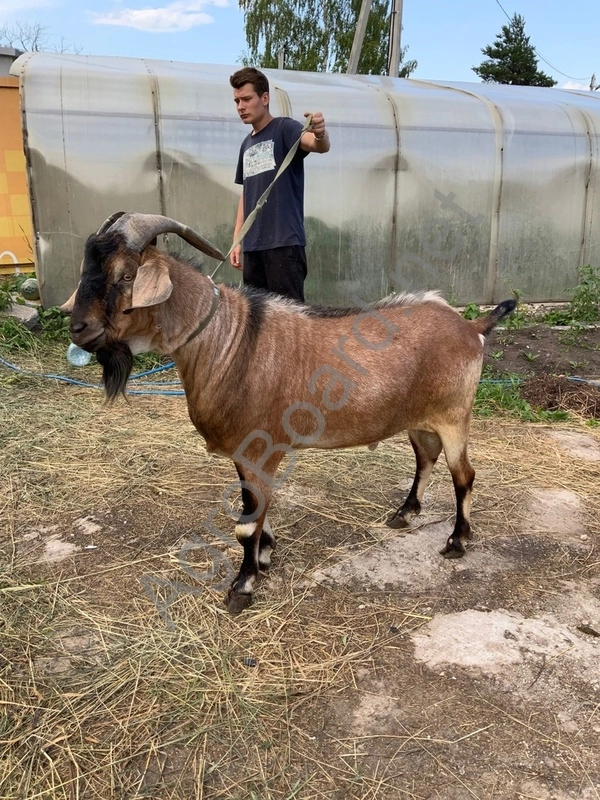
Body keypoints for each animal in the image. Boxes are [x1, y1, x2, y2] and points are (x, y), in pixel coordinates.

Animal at [63, 212, 516, 614]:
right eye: (87, 268)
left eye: (125, 276)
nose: (78, 329)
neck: (227, 341)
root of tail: (471, 327)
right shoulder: (246, 453)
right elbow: (256, 508)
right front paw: (265, 553)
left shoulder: (262, 448)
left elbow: (246, 522)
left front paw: (242, 586)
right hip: (419, 418)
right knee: (425, 457)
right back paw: (404, 514)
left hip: (454, 416)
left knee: (464, 475)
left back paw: (457, 542)